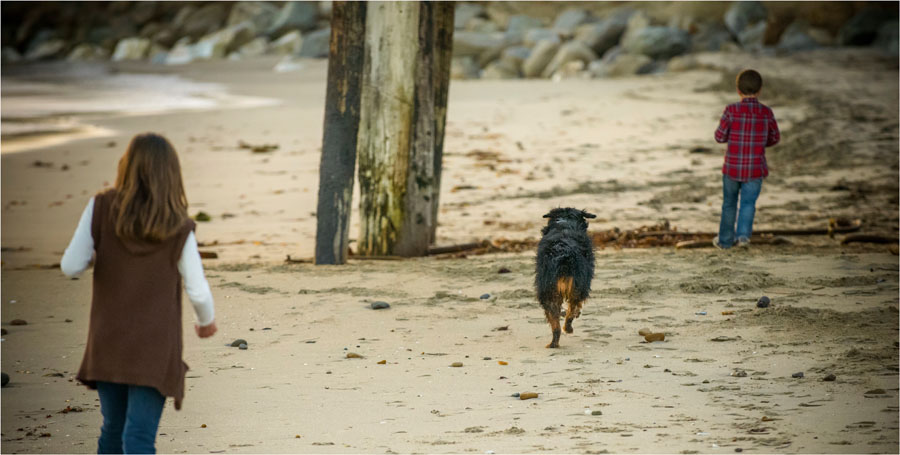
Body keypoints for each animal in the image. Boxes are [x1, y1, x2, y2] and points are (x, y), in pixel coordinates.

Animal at [536, 208, 596, 350]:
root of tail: (563, 256)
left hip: (547, 291)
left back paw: (554, 343)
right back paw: (568, 328)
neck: (565, 222)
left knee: (555, 325)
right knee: (571, 310)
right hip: (578, 286)